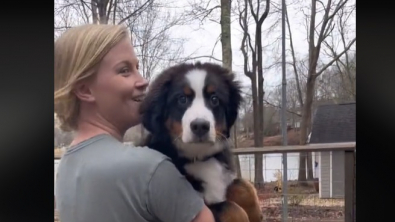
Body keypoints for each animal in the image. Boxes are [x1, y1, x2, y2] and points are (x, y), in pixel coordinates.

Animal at [139, 61, 262, 222]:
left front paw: (255, 214)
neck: (199, 157)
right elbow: (231, 208)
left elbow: (243, 185)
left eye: (214, 99)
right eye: (182, 99)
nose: (200, 126)